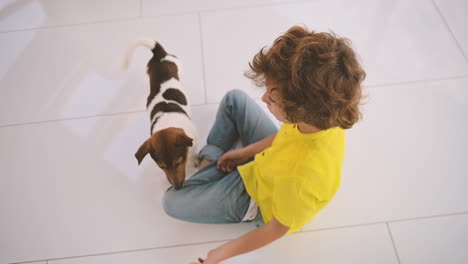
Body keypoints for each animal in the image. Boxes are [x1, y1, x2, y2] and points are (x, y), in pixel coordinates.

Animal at [122, 38, 197, 190]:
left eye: (178, 163)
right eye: (162, 167)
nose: (177, 187)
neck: (167, 123)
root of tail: (159, 54)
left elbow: (193, 153)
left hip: (178, 63)